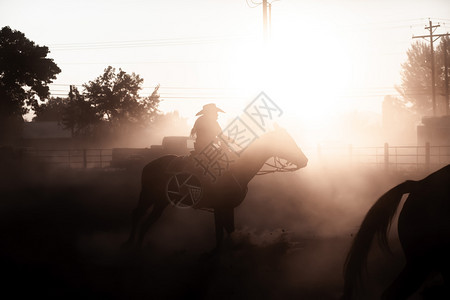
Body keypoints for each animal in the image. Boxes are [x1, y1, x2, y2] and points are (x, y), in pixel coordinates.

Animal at [121, 126, 308, 251]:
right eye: (287, 142)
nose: (305, 160)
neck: (238, 169)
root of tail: (149, 165)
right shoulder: (220, 207)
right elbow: (222, 232)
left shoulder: (226, 208)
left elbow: (227, 230)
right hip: (151, 196)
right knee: (140, 215)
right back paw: (132, 243)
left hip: (159, 200)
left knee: (145, 218)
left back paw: (137, 242)